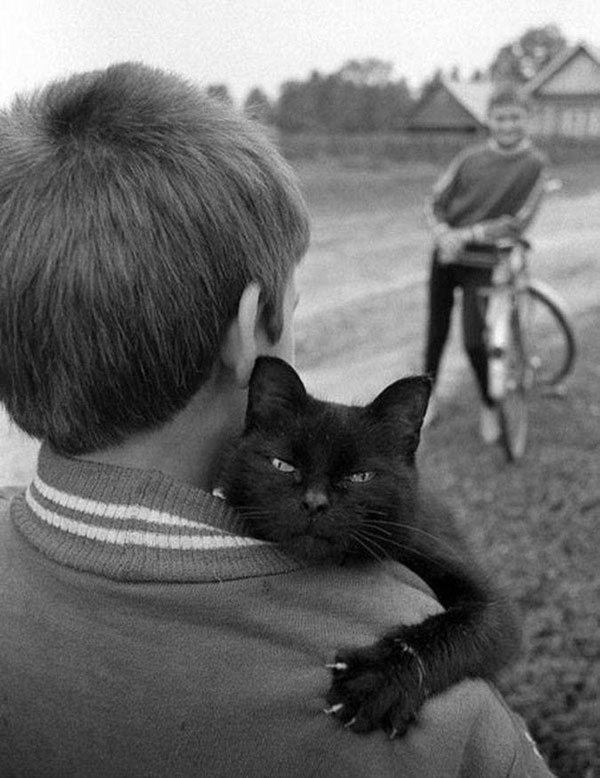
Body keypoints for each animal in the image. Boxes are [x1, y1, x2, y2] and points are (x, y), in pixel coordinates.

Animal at [221, 354, 520, 736]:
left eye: (360, 476)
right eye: (282, 465)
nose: (315, 503)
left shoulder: (489, 601)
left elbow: (459, 627)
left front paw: (376, 681)